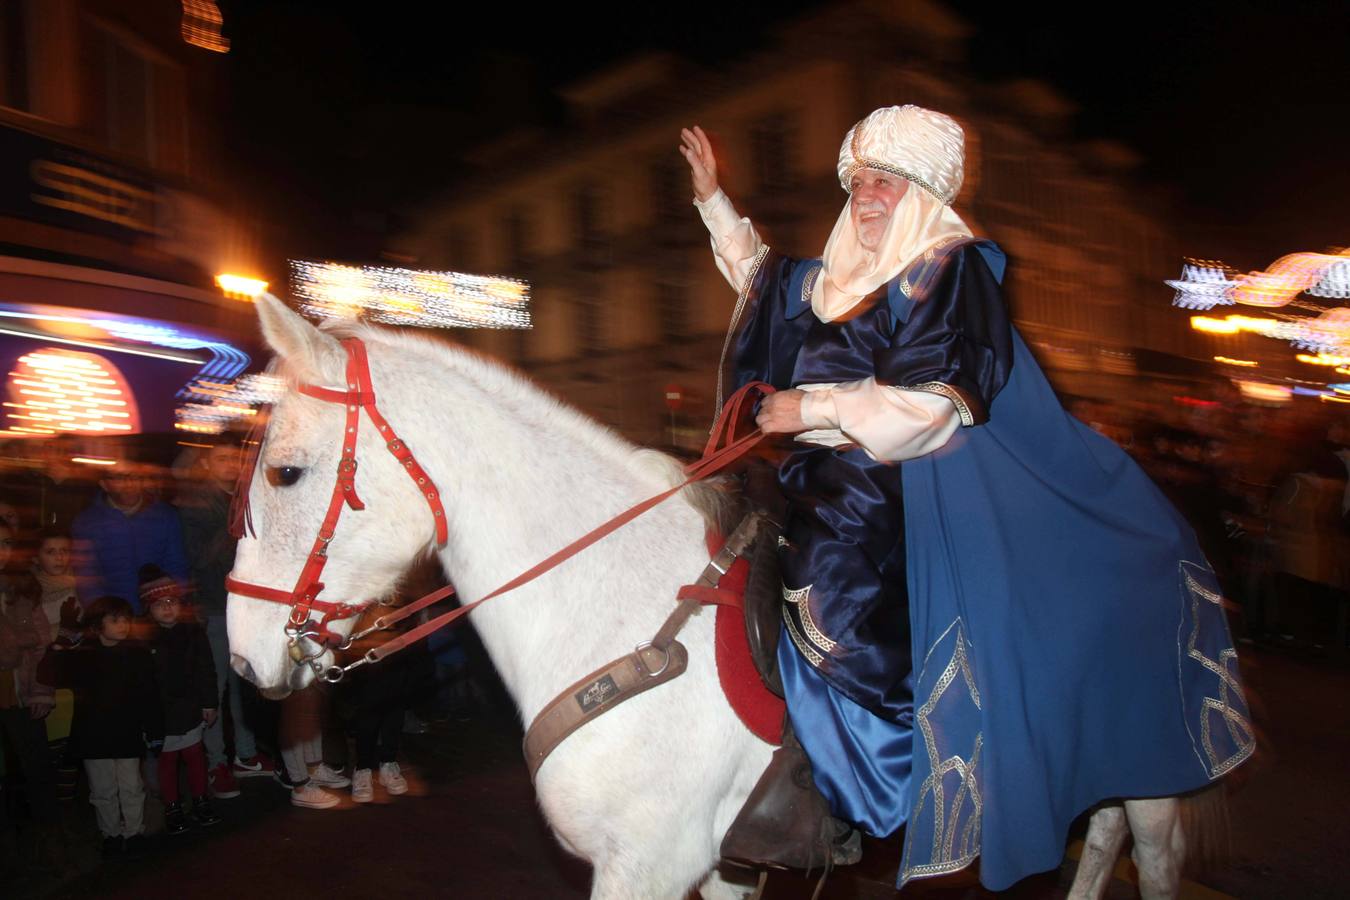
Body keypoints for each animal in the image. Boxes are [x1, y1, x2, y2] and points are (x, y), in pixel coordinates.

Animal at [226, 292, 1209, 895]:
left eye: (285, 472)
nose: (240, 657)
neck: (617, 616)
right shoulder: (713, 867)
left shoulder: (646, 869)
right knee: (1104, 834)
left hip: (1159, 767)